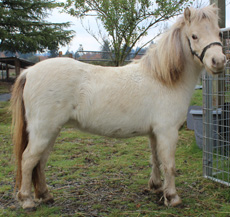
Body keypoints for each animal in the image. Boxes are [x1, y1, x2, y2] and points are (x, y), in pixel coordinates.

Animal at [10, 5, 226, 210]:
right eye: (194, 36)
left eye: (218, 33)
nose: (219, 61)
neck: (163, 79)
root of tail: (29, 72)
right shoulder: (168, 131)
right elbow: (169, 165)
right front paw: (172, 197)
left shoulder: (155, 132)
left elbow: (155, 159)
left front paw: (156, 187)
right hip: (43, 131)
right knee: (28, 160)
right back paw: (27, 201)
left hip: (51, 131)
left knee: (40, 161)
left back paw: (45, 195)